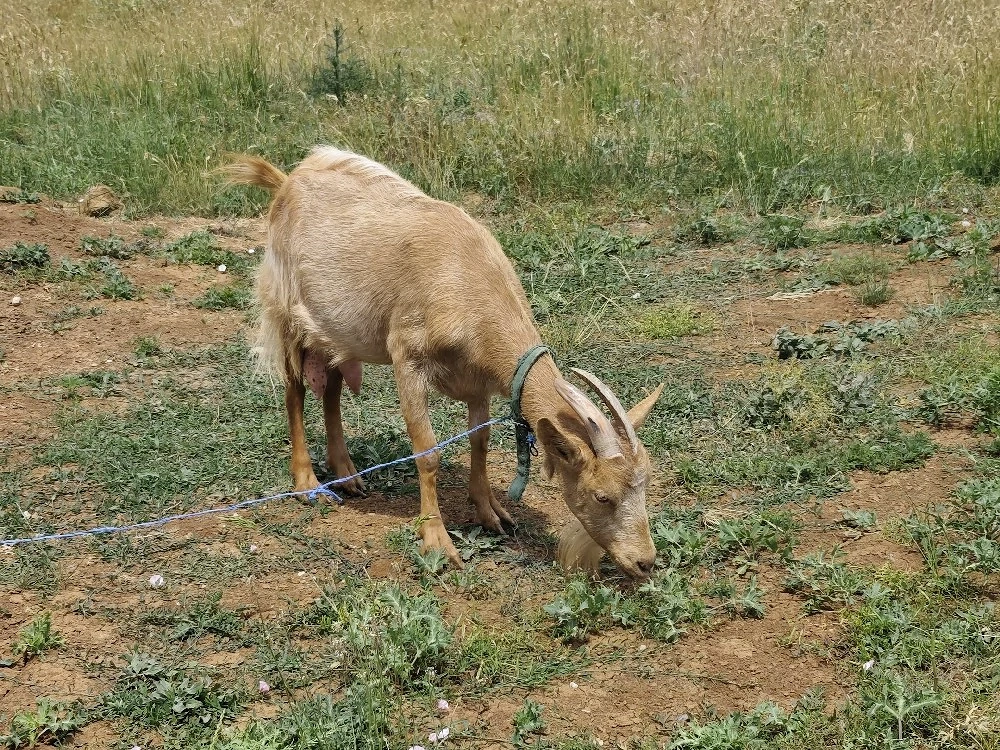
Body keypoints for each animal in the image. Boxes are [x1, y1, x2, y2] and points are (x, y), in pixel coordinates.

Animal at [223, 146, 665, 578]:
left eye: (645, 485)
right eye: (602, 496)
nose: (644, 562)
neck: (467, 278)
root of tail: (287, 180)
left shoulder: (478, 379)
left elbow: (480, 442)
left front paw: (491, 513)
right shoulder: (407, 358)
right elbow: (427, 452)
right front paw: (437, 541)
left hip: (334, 331)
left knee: (330, 388)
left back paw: (348, 475)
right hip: (286, 312)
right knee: (294, 390)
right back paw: (308, 483)